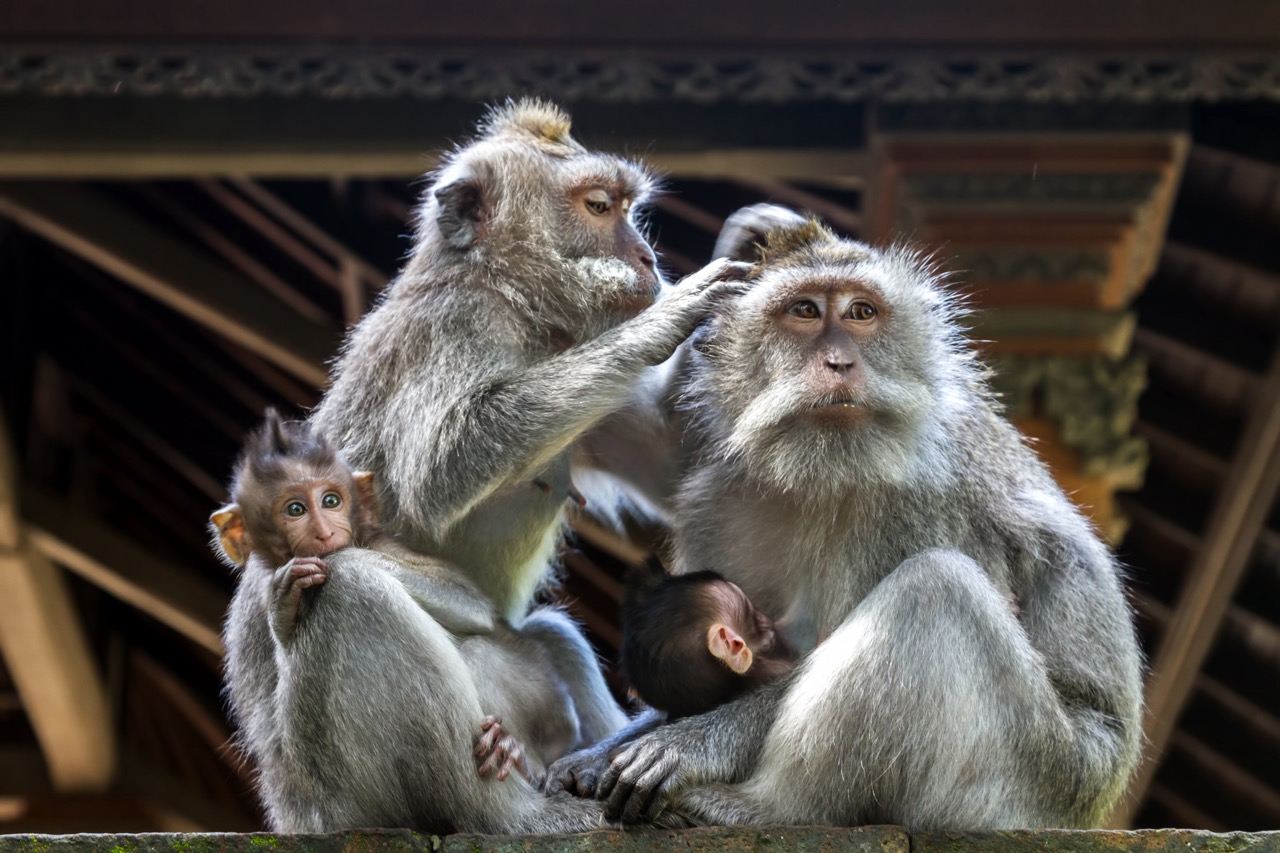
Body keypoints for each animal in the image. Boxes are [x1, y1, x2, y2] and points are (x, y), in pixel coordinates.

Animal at [221, 99, 749, 833]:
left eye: (626, 207)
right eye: (598, 206)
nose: (646, 257)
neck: (510, 297)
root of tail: (286, 807)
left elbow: (685, 468)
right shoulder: (456, 326)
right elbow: (441, 468)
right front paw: (666, 319)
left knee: (547, 634)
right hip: (341, 800)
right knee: (347, 591)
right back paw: (516, 814)